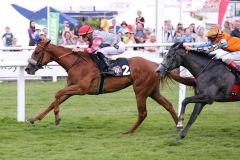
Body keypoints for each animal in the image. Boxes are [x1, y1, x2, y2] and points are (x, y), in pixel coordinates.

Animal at [24, 40, 193, 134]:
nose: (27, 69)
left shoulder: (81, 89)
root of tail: (155, 65)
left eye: (37, 52)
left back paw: (129, 132)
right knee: (168, 105)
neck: (76, 63)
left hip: (140, 91)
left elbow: (56, 94)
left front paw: (57, 118)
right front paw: (34, 118)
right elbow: (55, 100)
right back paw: (178, 125)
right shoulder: (72, 89)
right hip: (152, 91)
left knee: (143, 113)